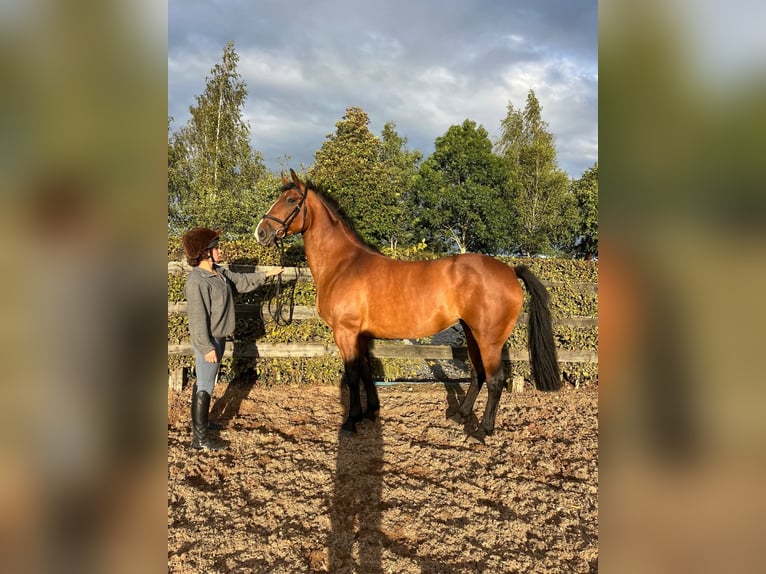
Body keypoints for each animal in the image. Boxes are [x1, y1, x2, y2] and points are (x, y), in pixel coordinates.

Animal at [256, 169, 561, 443]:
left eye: (291, 200)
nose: (261, 232)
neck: (344, 264)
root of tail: (509, 270)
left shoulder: (346, 332)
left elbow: (353, 375)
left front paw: (351, 421)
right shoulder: (360, 336)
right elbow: (366, 370)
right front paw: (371, 412)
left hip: (489, 338)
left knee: (496, 380)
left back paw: (481, 432)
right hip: (473, 333)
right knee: (477, 374)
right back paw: (460, 415)